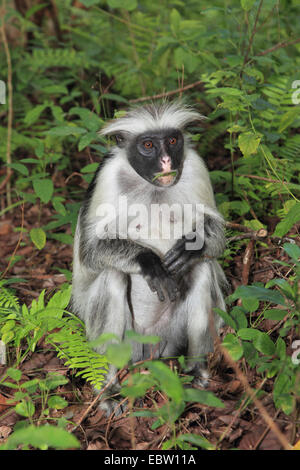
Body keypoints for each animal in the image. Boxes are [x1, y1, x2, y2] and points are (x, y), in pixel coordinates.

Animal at [71, 100, 230, 414]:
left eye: (172, 141)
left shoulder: (195, 166)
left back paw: (197, 372)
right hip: (126, 341)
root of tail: (150, 347)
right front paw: (149, 262)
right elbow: (90, 250)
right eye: (148, 145)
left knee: (202, 270)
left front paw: (192, 247)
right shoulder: (108, 175)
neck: (154, 189)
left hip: (172, 336)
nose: (167, 161)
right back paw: (108, 391)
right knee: (113, 276)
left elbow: (216, 236)